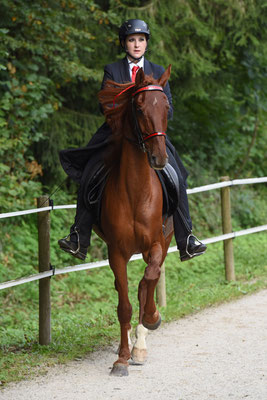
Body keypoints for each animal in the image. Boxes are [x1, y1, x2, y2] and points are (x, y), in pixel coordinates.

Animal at [97, 65, 175, 376]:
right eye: (139, 107)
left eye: (166, 106)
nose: (159, 158)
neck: (136, 191)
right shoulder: (116, 252)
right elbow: (124, 306)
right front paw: (121, 358)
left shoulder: (155, 243)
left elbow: (148, 282)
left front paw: (151, 321)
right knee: (124, 291)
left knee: (148, 282)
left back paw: (142, 339)